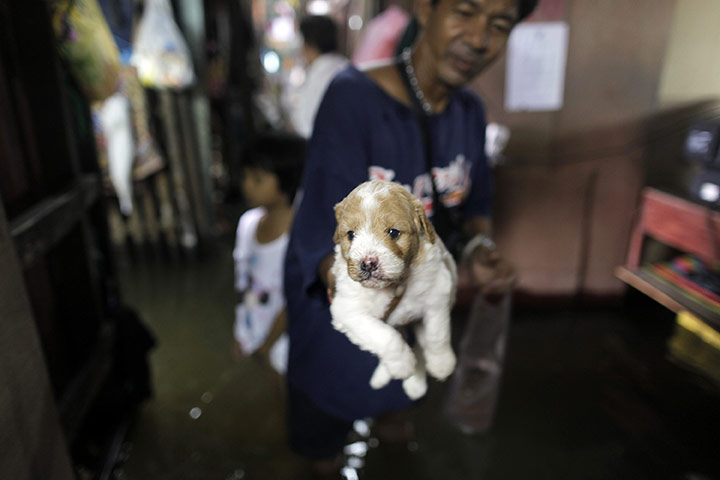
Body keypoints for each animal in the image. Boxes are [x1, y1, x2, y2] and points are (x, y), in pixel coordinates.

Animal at [330, 178, 458, 400]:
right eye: (350, 234)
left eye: (393, 232)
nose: (368, 263)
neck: (394, 283)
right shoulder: (347, 310)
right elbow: (385, 337)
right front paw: (403, 366)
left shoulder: (437, 292)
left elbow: (437, 333)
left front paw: (441, 364)